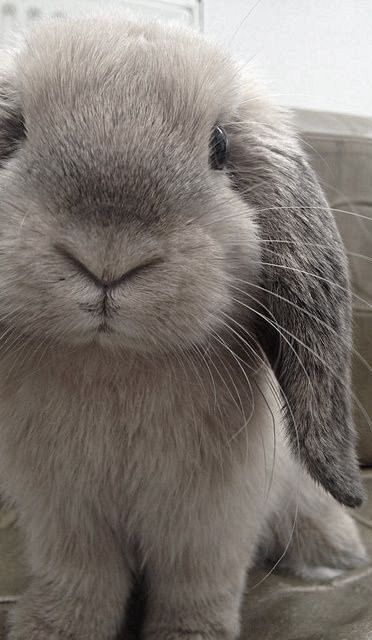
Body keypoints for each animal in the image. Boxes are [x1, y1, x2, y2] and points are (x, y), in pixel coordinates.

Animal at [0, 13, 368, 640]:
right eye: (17, 130)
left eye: (220, 146)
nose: (107, 257)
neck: (115, 364)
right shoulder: (63, 519)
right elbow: (81, 581)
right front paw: (52, 628)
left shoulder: (211, 525)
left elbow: (198, 589)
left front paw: (191, 635)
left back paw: (336, 552)